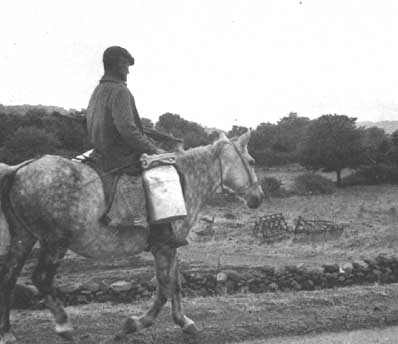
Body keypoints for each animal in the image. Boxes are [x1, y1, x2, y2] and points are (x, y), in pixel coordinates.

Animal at [0, 130, 264, 342]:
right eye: (251, 161)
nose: (258, 197)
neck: (185, 181)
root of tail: (20, 169)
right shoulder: (163, 247)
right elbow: (165, 287)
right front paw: (134, 324)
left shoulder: (171, 246)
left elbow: (175, 284)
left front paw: (185, 322)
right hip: (55, 242)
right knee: (41, 279)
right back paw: (64, 326)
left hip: (24, 238)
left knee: (9, 278)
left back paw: (7, 333)